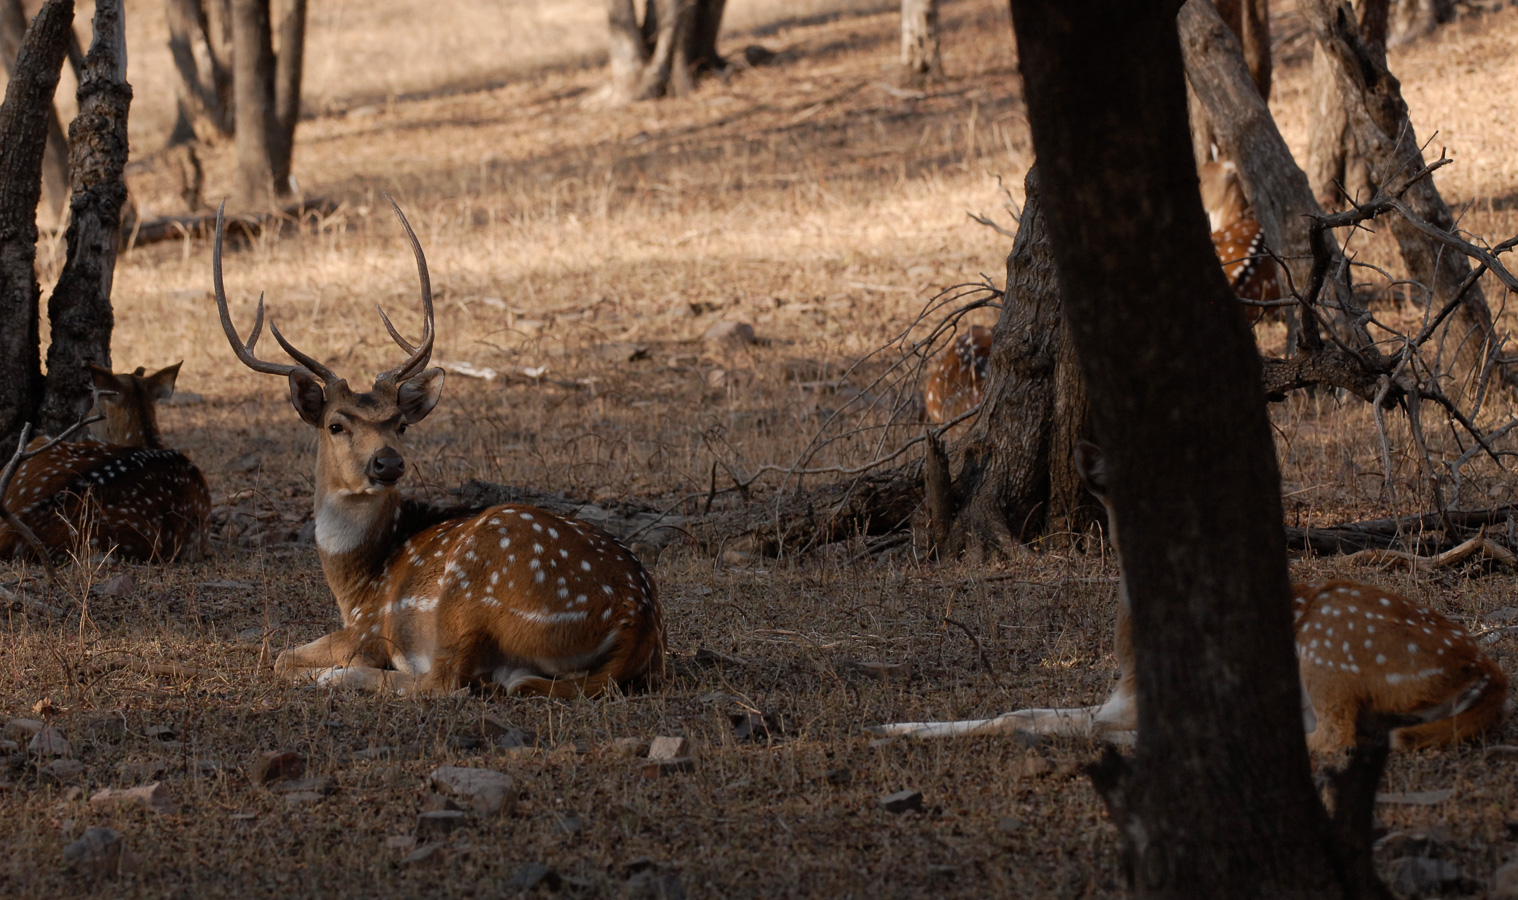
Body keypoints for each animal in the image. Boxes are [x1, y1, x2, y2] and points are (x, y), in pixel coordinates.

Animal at [209, 200, 664, 698]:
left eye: (402, 424)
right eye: (335, 425)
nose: (387, 462)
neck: (358, 586)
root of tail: (636, 619)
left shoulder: (369, 629)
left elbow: (281, 658)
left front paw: (328, 669)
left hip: (469, 595)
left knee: (445, 681)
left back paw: (341, 677)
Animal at [874, 443, 1511, 749]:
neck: (1131, 661)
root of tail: (1487, 675)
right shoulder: (1114, 700)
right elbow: (1019, 712)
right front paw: (891, 728)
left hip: (1332, 641)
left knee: (1334, 738)